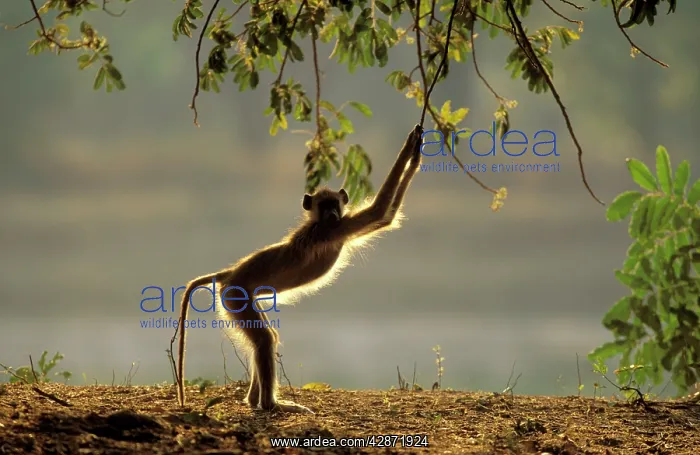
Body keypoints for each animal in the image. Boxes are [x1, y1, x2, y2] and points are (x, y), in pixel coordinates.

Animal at [175, 123, 424, 413]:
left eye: (334, 204)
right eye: (324, 206)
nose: (332, 214)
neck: (320, 223)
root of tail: (230, 274)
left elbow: (386, 216)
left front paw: (416, 152)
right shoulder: (333, 230)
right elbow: (380, 212)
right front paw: (411, 147)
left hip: (240, 298)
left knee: (267, 337)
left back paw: (253, 400)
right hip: (235, 296)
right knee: (264, 340)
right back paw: (269, 404)